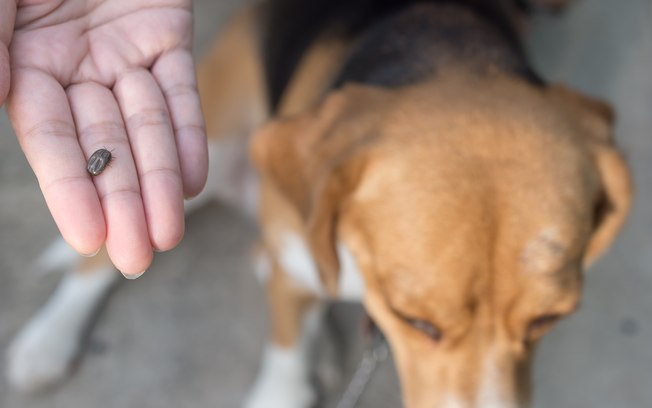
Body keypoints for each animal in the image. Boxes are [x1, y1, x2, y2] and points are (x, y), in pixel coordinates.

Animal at [2, 0, 628, 408]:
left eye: (550, 319)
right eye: (415, 321)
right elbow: (283, 355)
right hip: (206, 151)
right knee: (98, 264)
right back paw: (48, 341)